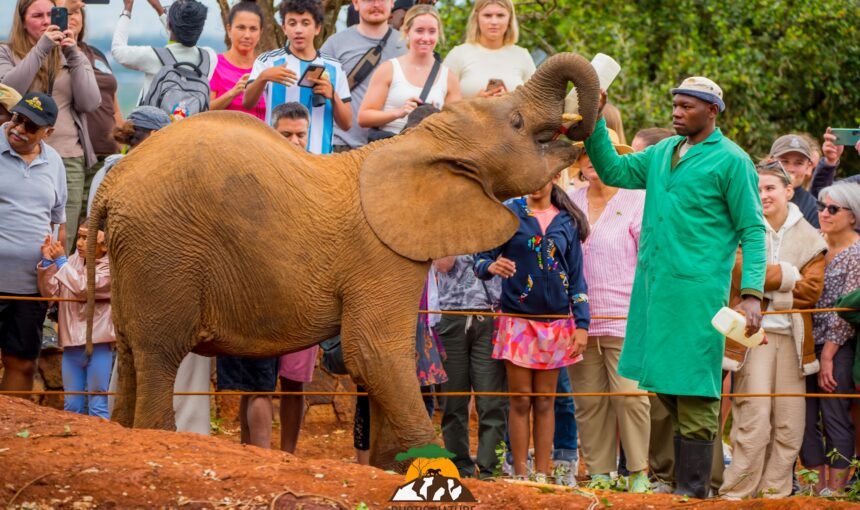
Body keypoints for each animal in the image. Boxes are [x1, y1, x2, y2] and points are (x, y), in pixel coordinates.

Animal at [85, 52, 600, 469]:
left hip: (141, 253)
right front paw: (432, 467)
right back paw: (158, 437)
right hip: (165, 249)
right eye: (516, 122)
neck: (422, 145)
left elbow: (384, 358)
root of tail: (112, 184)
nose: (579, 132)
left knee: (129, 353)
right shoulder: (381, 253)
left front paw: (391, 466)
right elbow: (375, 352)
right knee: (159, 353)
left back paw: (124, 433)